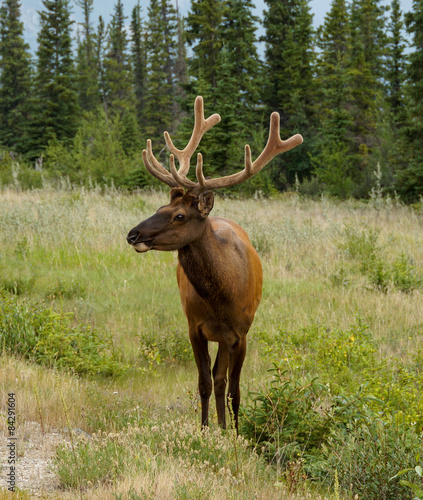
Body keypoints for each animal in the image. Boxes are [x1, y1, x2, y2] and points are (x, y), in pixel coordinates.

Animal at [127, 96, 304, 430]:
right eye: (159, 208)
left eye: (179, 216)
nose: (133, 234)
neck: (221, 296)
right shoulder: (194, 327)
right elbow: (205, 383)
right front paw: (206, 428)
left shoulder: (240, 333)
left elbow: (231, 386)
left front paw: (231, 430)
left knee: (226, 381)